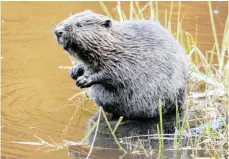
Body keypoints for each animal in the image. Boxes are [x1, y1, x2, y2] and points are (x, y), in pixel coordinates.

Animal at [54, 9, 189, 119]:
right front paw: (74, 71)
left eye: (79, 25)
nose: (57, 31)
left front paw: (83, 80)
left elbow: (115, 74)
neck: (115, 43)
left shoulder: (126, 59)